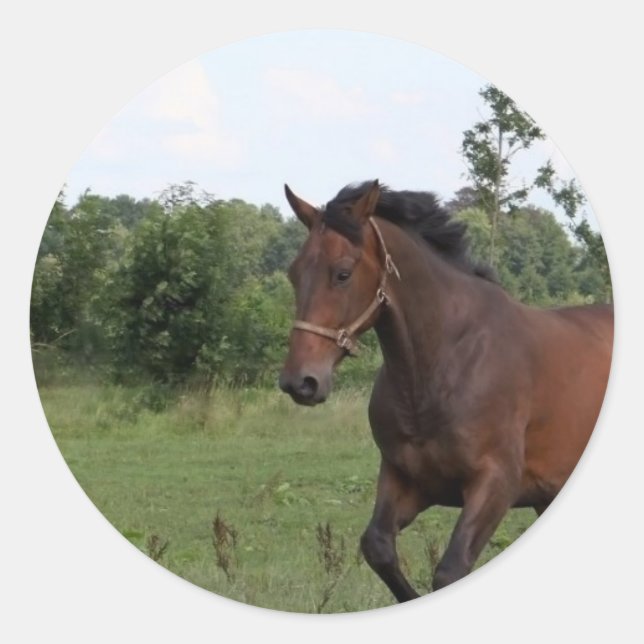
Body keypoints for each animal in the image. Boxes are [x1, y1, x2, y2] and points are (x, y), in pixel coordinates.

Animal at [278, 180, 613, 602]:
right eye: (294, 273)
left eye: (342, 273)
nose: (300, 382)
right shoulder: (406, 479)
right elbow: (378, 546)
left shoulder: (495, 484)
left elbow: (450, 571)